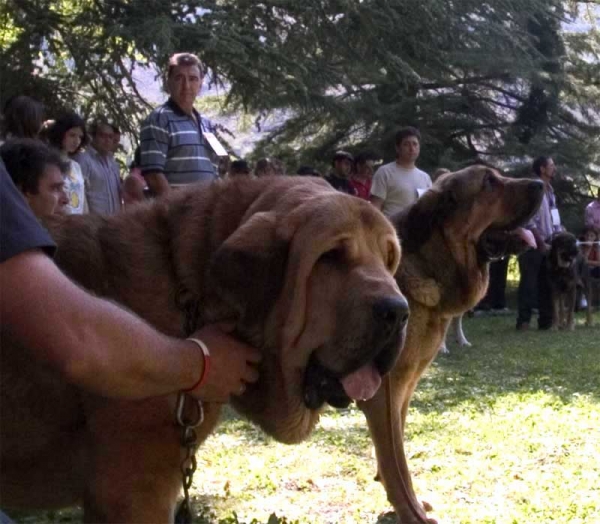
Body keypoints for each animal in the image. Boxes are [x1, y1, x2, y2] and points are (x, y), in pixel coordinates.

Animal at [358, 166, 548, 520]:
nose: (542, 183)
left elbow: (394, 452)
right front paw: (411, 514)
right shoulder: (383, 394)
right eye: (489, 182)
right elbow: (397, 464)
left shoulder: (402, 389)